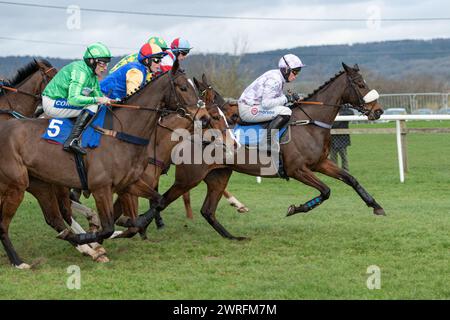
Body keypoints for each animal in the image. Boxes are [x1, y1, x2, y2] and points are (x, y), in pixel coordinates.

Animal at [0, 63, 211, 268]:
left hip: (39, 184)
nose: (204, 117)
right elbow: (108, 227)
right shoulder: (101, 188)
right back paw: (19, 261)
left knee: (55, 218)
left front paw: (126, 227)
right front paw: (91, 238)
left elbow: (154, 205)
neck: (121, 133)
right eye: (183, 88)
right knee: (6, 224)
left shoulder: (128, 183)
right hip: (18, 185)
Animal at [138, 62, 386, 239]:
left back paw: (232, 237)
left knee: (207, 210)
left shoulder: (320, 163)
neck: (309, 123)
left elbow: (351, 179)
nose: (378, 111)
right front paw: (295, 209)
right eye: (360, 84)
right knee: (163, 200)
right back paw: (138, 225)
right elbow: (325, 191)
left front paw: (376, 206)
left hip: (219, 174)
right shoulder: (298, 170)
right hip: (190, 177)